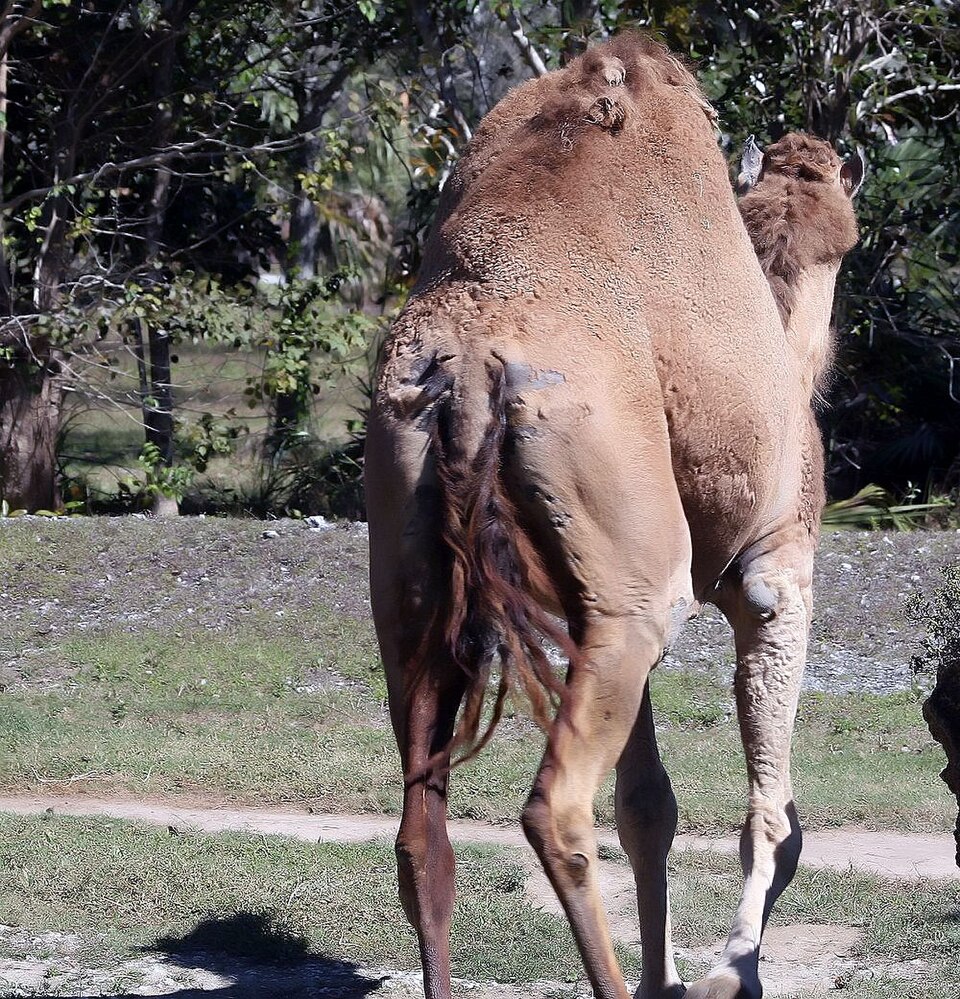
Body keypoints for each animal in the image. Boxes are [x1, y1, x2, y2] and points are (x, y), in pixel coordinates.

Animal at [365, 34, 862, 999]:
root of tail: (471, 369)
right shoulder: (775, 565)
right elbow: (772, 821)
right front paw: (727, 970)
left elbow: (648, 807)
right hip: (639, 596)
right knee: (553, 810)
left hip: (417, 580)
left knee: (419, 830)